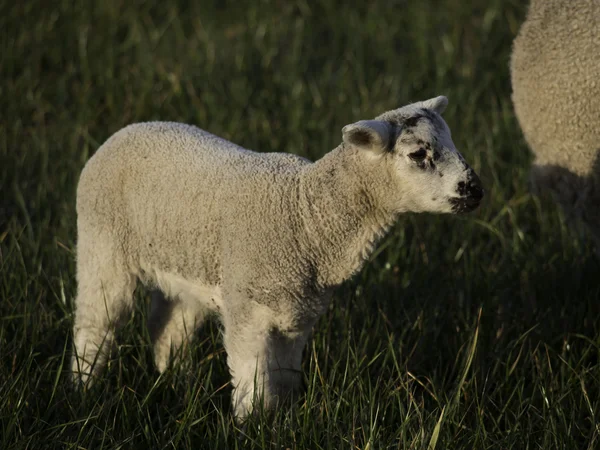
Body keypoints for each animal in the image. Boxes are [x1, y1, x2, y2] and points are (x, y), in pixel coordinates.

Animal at [71, 96, 482, 420]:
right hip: (101, 245)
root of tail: (128, 129)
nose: (475, 189)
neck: (306, 212)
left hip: (184, 266)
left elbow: (282, 379)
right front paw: (250, 427)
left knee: (168, 328)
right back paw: (83, 387)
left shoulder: (295, 314)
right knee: (95, 325)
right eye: (418, 154)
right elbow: (252, 382)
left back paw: (173, 381)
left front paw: (281, 424)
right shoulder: (247, 308)